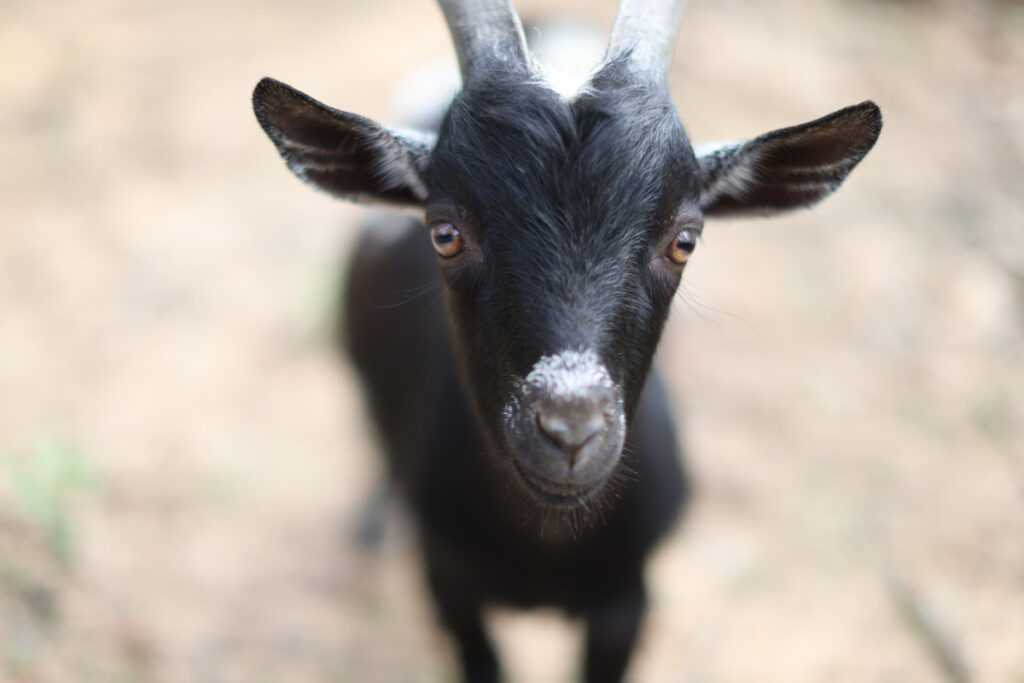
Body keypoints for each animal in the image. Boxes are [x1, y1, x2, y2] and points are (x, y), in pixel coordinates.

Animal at [247, 2, 880, 679]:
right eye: (445, 233)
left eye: (684, 240)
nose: (570, 429)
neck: (546, 543)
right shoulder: (448, 585)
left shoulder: (627, 599)